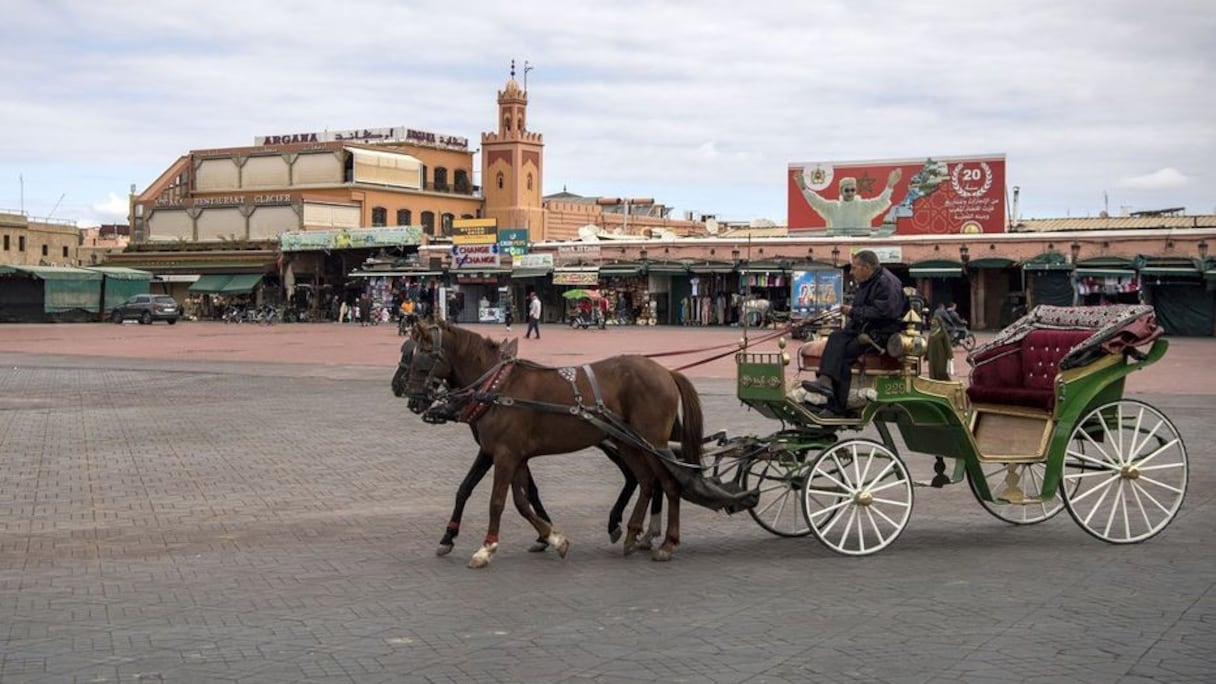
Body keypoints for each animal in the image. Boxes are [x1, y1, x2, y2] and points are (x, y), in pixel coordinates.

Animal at [398, 316, 705, 567]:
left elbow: (498, 501)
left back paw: (666, 542)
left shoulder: (505, 454)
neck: (499, 387)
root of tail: (665, 371)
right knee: (647, 482)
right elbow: (518, 500)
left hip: (652, 442)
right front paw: (552, 537)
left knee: (669, 485)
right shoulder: (506, 453)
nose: (412, 399)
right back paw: (633, 534)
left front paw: (486, 548)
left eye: (421, 356)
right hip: (630, 444)